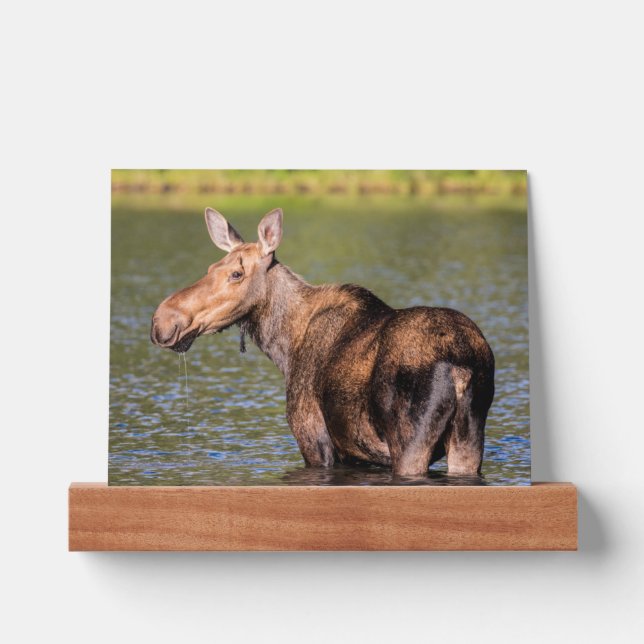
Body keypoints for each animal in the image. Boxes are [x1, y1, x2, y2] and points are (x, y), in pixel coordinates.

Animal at [151, 208, 495, 478]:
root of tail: (462, 367)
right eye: (211, 268)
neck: (285, 347)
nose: (162, 320)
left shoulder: (314, 439)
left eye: (236, 274)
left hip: (410, 443)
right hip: (469, 440)